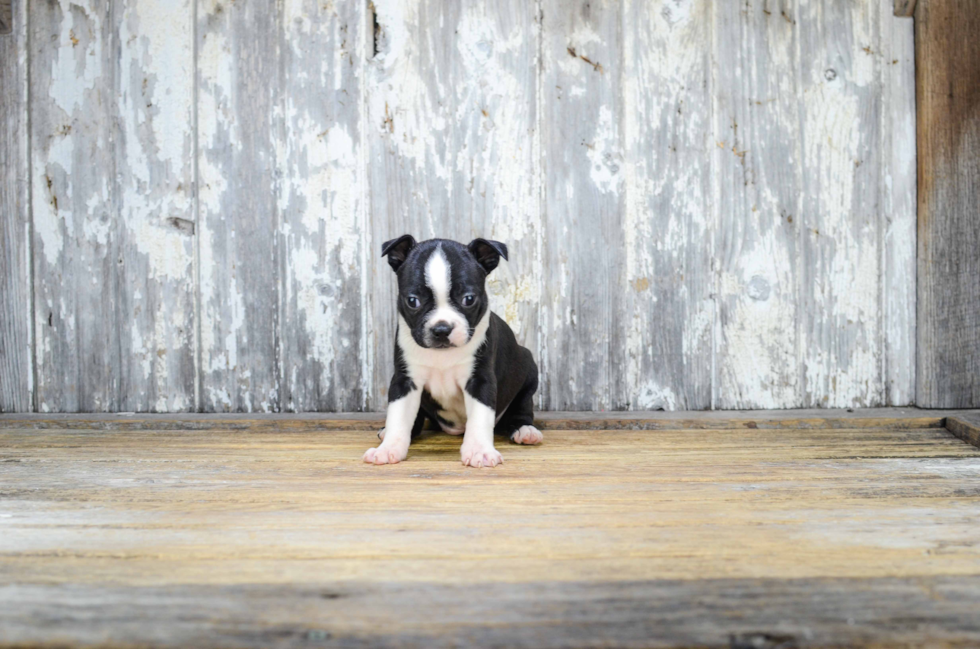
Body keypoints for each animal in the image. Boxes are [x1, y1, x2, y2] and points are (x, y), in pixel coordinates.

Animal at [362, 235, 544, 468]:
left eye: (469, 299)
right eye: (412, 301)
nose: (441, 329)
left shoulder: (480, 380)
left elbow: (480, 418)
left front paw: (479, 451)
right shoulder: (405, 380)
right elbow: (398, 415)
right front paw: (388, 448)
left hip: (528, 369)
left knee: (522, 407)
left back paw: (525, 430)